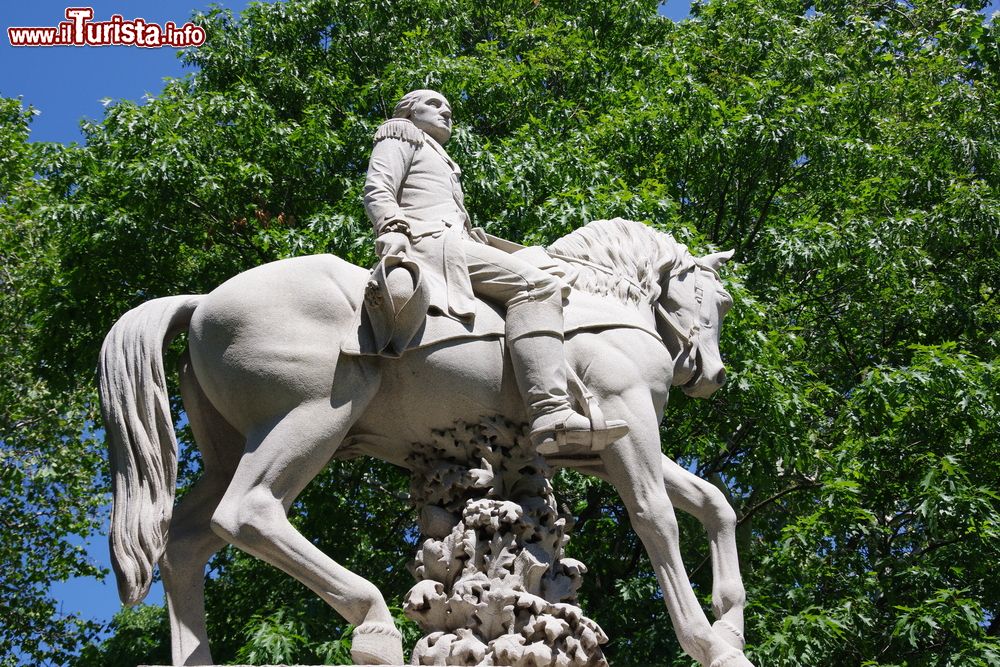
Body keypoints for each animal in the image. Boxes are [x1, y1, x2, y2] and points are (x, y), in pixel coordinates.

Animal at [101, 219, 752, 667]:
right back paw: (375, 626)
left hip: (232, 449)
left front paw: (730, 621)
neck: (601, 301)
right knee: (247, 513)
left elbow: (714, 503)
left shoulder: (593, 445)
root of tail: (201, 303)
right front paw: (710, 643)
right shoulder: (629, 418)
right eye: (717, 302)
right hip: (311, 416)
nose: (712, 375)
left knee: (184, 544)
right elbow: (657, 518)